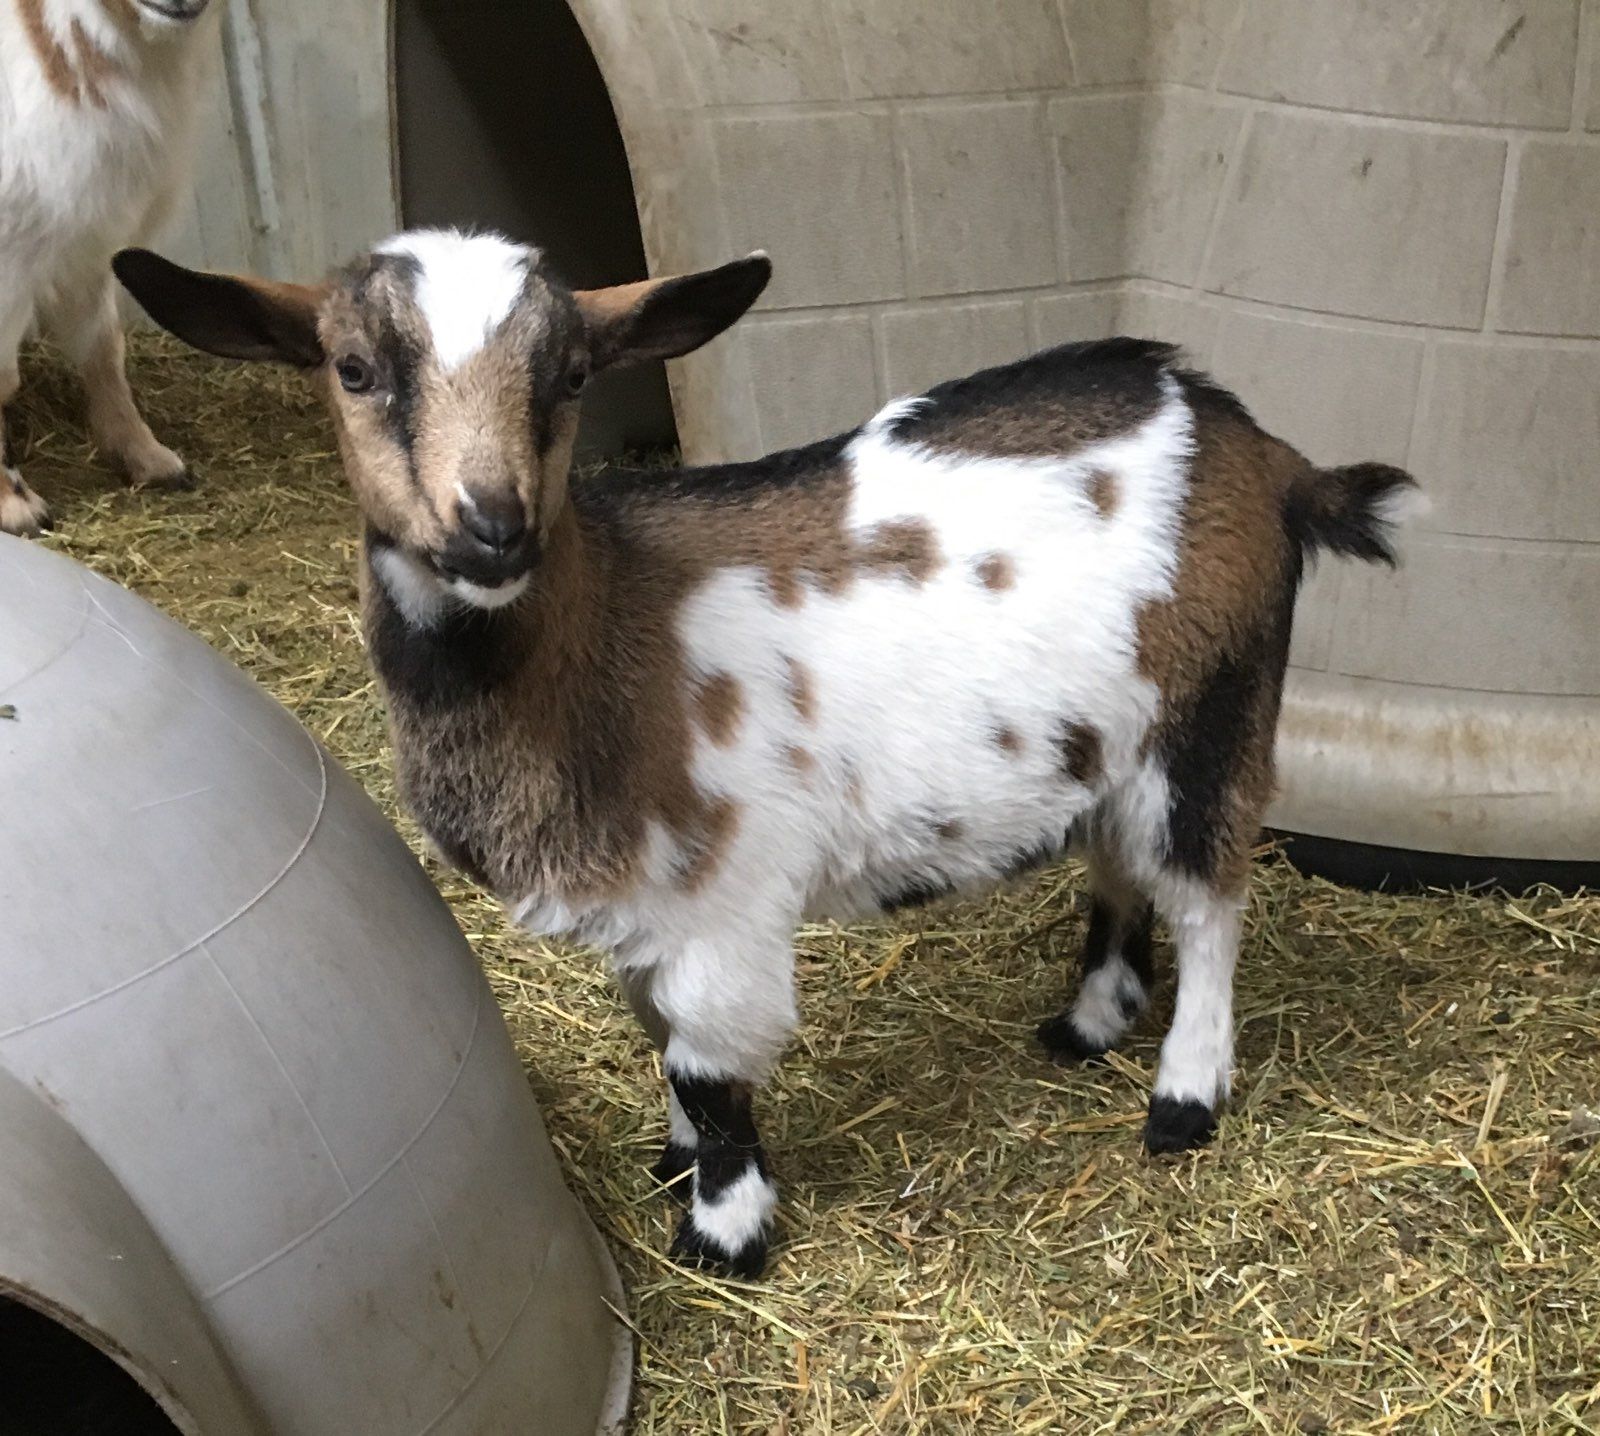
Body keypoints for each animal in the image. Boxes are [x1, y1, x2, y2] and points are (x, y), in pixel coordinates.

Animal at [114, 230, 1419, 1279]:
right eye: (353, 368)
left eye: (571, 374)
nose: (491, 524)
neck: (605, 635)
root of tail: (1268, 452)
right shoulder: (638, 905)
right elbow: (656, 1036)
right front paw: (673, 1160)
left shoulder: (723, 899)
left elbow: (706, 1057)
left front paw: (723, 1229)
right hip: (1106, 736)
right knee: (1117, 869)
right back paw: (1088, 1020)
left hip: (1215, 705)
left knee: (1208, 897)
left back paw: (1183, 1094)